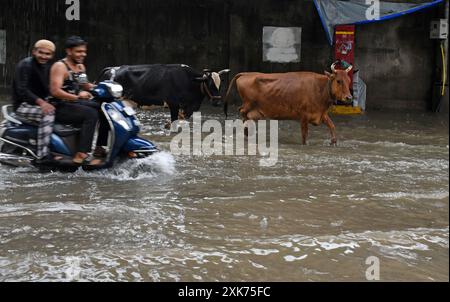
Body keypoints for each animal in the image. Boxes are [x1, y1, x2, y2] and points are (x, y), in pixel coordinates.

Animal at [99, 64, 232, 124]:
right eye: (209, 84)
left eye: (220, 85)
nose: (217, 102)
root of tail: (113, 68)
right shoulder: (174, 105)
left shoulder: (186, 109)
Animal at [223, 62, 354, 145]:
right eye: (339, 81)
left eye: (348, 80)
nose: (349, 97)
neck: (319, 88)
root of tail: (246, 74)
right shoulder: (304, 116)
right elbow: (304, 136)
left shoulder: (322, 114)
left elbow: (332, 126)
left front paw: (333, 142)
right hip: (248, 104)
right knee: (242, 112)